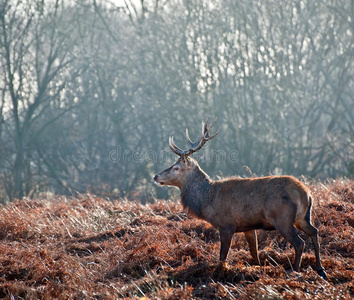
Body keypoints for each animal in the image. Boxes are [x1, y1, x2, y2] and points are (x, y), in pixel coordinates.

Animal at [153, 116, 328, 278]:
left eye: (176, 167)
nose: (155, 176)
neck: (207, 200)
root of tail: (306, 194)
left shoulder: (226, 225)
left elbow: (222, 256)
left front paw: (220, 274)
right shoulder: (248, 226)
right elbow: (254, 253)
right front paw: (258, 270)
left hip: (283, 219)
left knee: (299, 243)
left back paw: (295, 270)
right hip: (303, 217)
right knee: (314, 232)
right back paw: (321, 269)